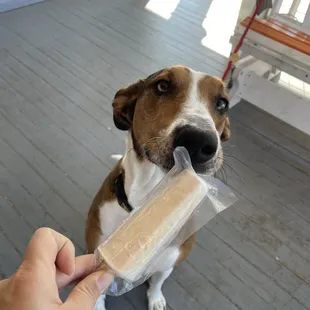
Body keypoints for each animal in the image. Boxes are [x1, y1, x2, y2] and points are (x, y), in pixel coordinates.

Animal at [85, 64, 230, 308]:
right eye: (162, 85)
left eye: (222, 103)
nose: (198, 140)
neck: (149, 195)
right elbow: (98, 289)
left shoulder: (169, 261)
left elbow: (158, 280)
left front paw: (155, 298)